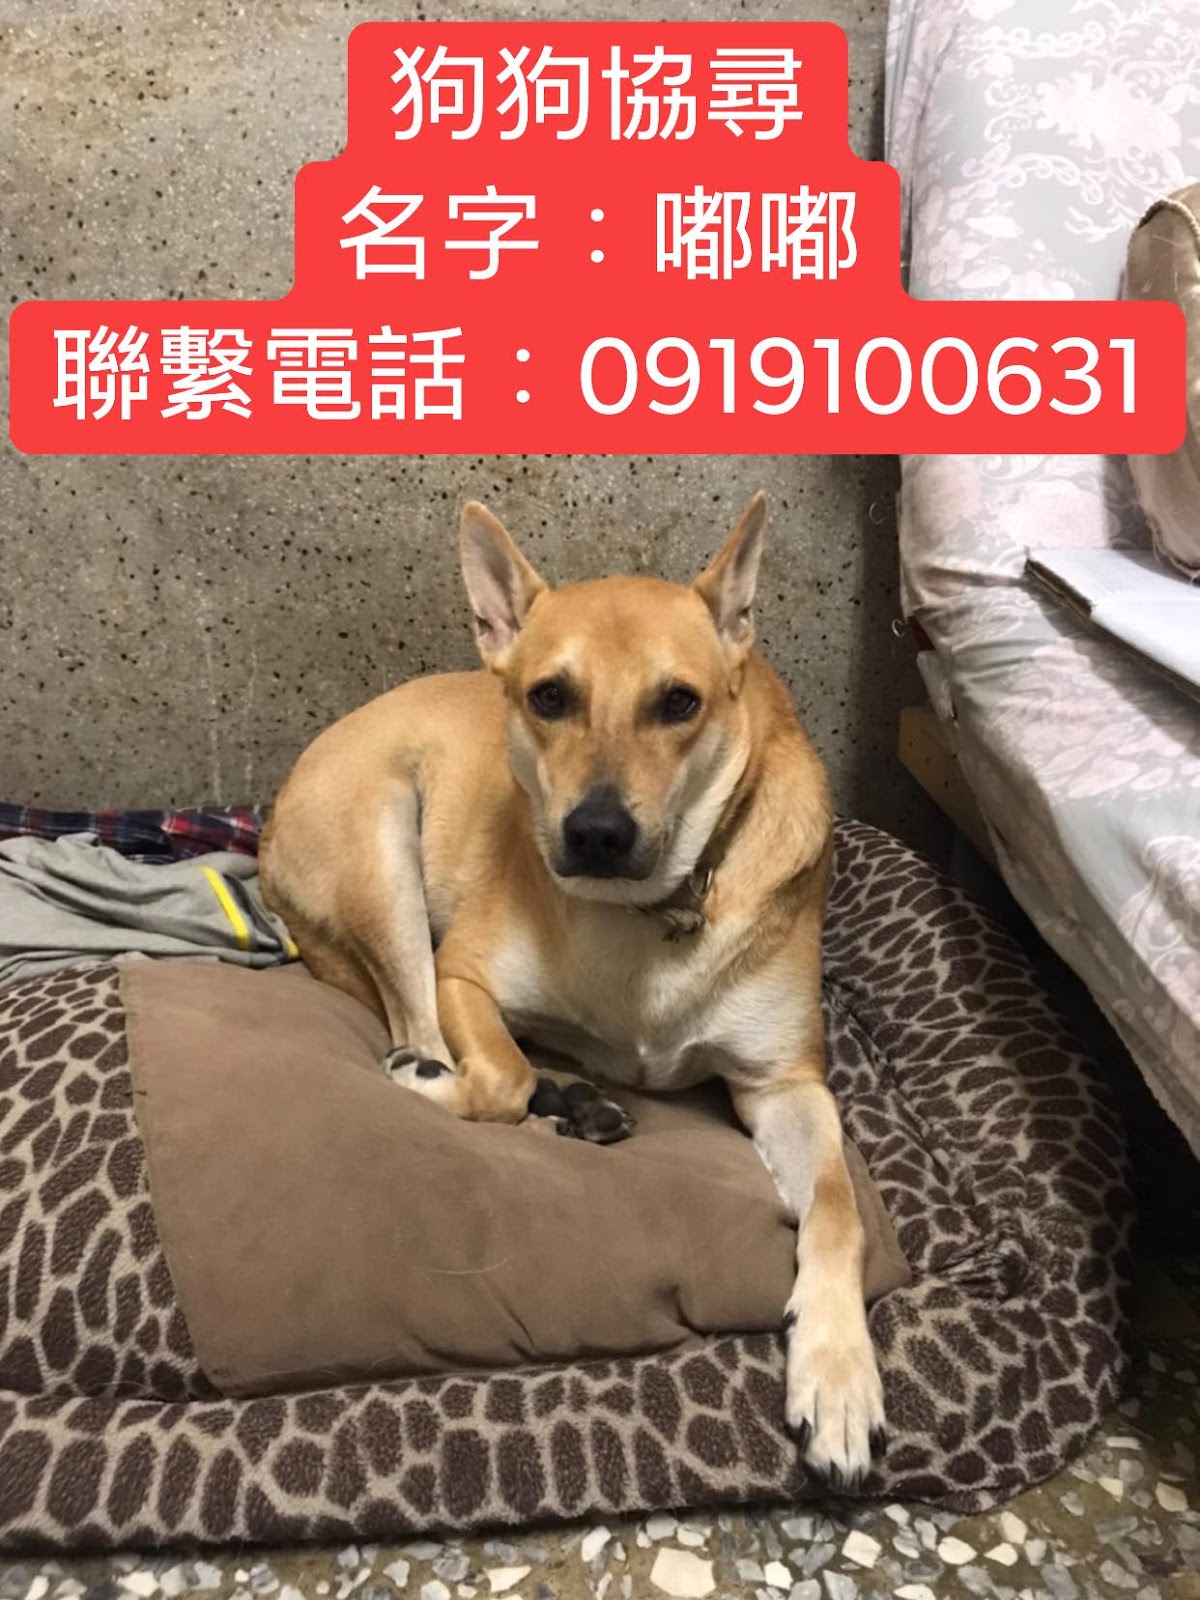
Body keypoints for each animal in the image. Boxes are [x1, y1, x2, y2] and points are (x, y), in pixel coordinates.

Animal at [259, 492, 886, 1484]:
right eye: (550, 696)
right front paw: (472, 1087)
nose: (595, 832)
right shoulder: (462, 974)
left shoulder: (785, 1084)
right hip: (385, 854)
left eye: (679, 703)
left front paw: (837, 1368)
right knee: (428, 1039)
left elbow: (835, 1207)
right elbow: (497, 1077)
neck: (642, 910)